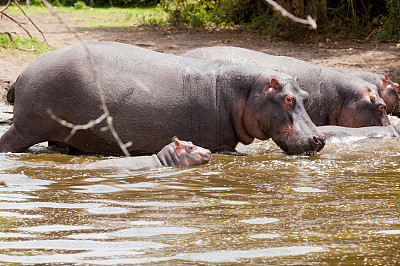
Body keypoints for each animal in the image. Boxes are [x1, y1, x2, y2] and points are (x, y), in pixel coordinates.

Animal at [0, 41, 324, 156]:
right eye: (287, 99)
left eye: (306, 96)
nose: (319, 139)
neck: (240, 93)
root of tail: (22, 73)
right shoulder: (221, 145)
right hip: (25, 128)